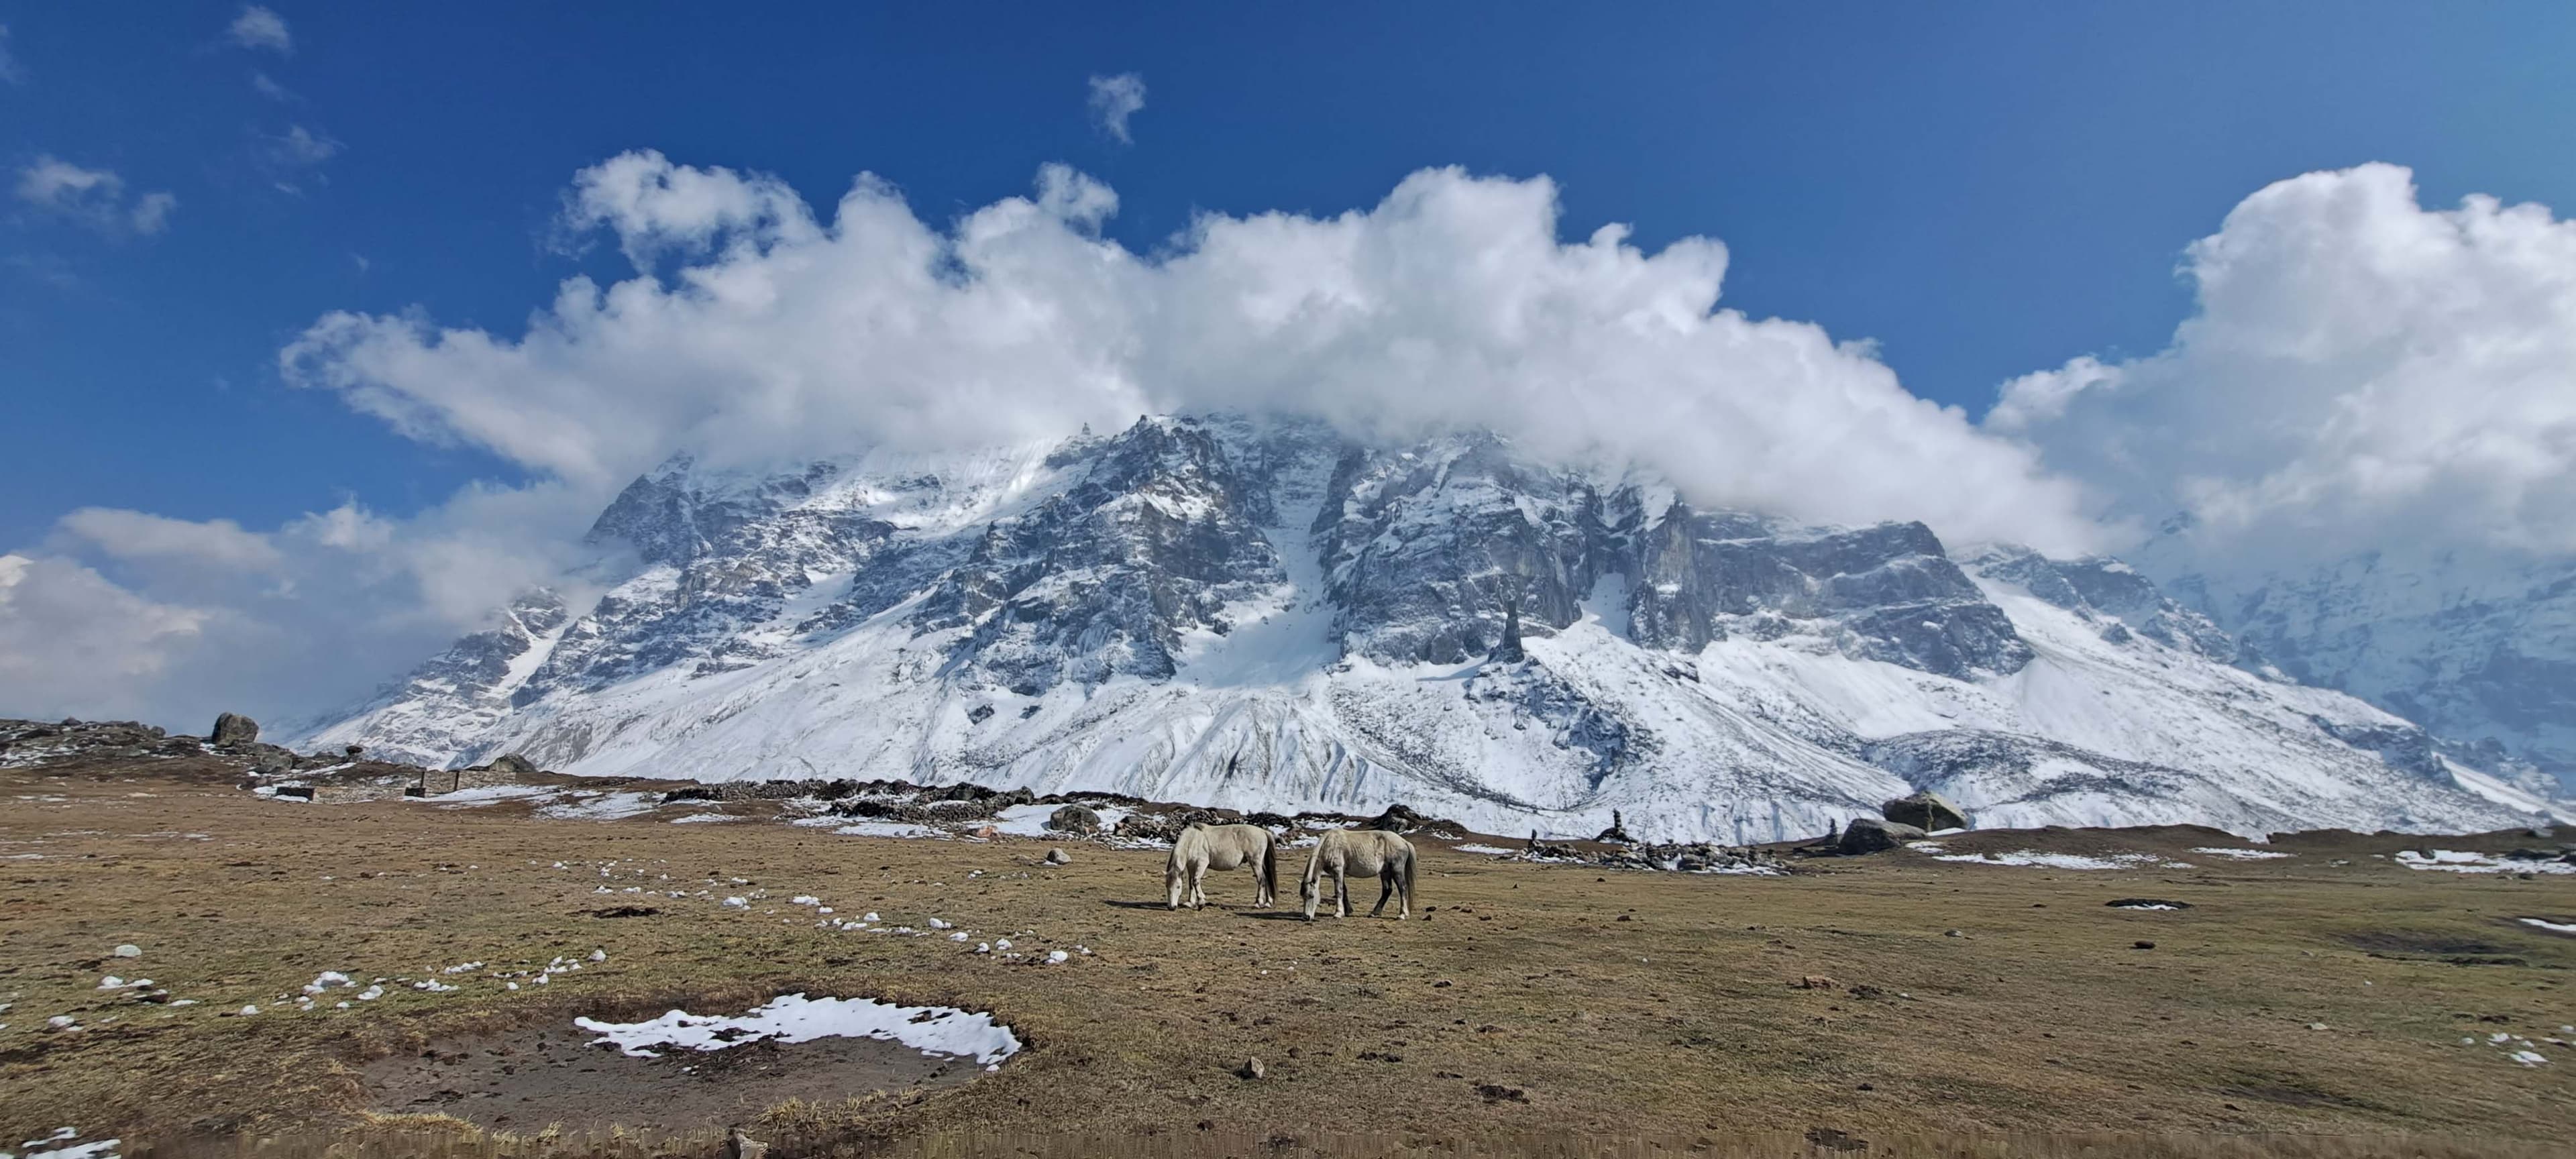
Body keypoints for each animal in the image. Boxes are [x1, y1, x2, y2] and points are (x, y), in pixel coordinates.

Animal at [1175, 819, 1283, 912]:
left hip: (1255, 862)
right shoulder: (1191, 865)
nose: (1173, 906)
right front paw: (1190, 903)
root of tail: (1263, 832)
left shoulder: (1200, 864)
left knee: (1262, 879)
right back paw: (1268, 902)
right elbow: (1191, 882)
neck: (1193, 840)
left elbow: (1195, 881)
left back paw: (1258, 903)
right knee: (1267, 878)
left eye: (1177, 887)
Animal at [1298, 829, 1421, 917]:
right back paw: (1374, 913)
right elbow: (1344, 890)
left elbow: (1339, 891)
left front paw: (1338, 913)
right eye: (1302, 896)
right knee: (1387, 890)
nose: (1306, 917)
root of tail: (1404, 842)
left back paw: (1402, 915)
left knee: (1403, 889)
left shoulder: (1338, 870)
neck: (1330, 845)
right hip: (1385, 872)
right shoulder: (1338, 873)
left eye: (1311, 896)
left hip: (1397, 871)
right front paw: (1348, 911)